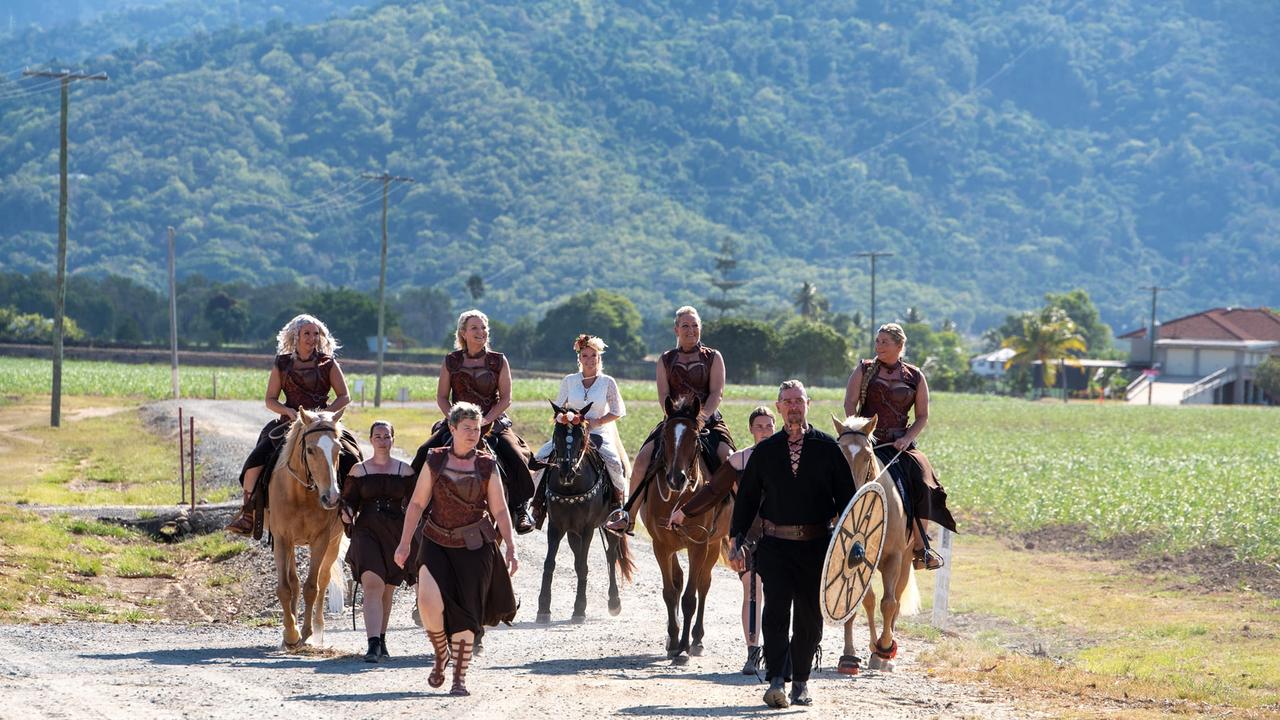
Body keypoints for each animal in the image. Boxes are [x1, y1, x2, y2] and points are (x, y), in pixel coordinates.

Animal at [263, 407, 358, 648]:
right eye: (310, 450)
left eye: (338, 449)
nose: (332, 497)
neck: (301, 493)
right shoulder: (281, 539)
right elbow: (285, 588)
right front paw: (290, 633)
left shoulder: (321, 540)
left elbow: (311, 588)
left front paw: (306, 632)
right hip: (291, 544)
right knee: (293, 582)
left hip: (333, 543)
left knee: (323, 580)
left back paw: (318, 629)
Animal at [537, 397, 637, 622]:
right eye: (557, 433)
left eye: (581, 433)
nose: (567, 472)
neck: (571, 486)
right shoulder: (555, 526)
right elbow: (550, 563)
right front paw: (543, 608)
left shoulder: (587, 528)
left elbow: (584, 566)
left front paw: (579, 609)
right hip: (572, 532)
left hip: (611, 525)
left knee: (611, 556)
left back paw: (614, 602)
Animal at [637, 394, 732, 666]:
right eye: (665, 437)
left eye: (695, 438)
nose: (675, 478)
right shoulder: (661, 546)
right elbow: (670, 593)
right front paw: (673, 640)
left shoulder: (698, 545)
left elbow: (690, 597)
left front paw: (684, 649)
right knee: (679, 580)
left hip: (713, 545)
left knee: (703, 584)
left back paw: (696, 639)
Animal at [829, 412, 921, 671]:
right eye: (837, 453)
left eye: (866, 455)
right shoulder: (856, 561)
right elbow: (865, 601)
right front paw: (853, 654)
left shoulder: (894, 558)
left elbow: (889, 603)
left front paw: (885, 650)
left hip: (906, 561)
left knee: (897, 599)